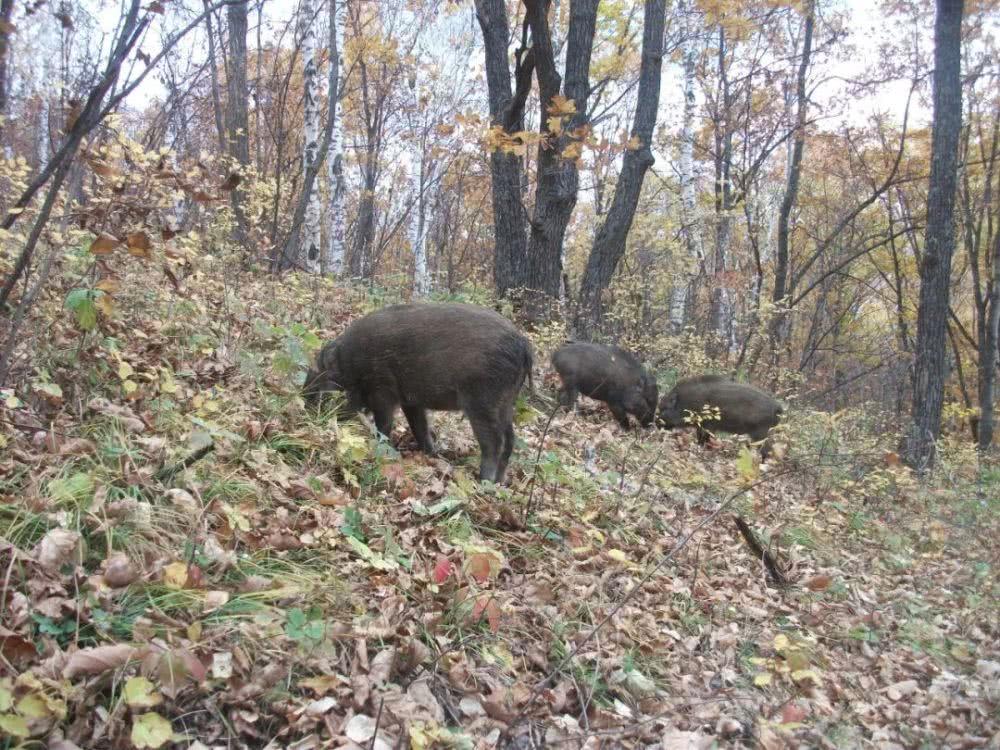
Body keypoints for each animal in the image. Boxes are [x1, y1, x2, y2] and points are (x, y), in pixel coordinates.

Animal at [303, 303, 533, 483]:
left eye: (319, 377)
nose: (308, 406)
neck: (348, 363)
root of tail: (523, 345)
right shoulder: (411, 402)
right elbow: (420, 428)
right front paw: (432, 455)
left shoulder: (382, 392)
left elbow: (383, 425)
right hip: (506, 404)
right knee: (510, 439)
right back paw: (500, 482)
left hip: (483, 402)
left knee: (494, 443)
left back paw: (483, 481)